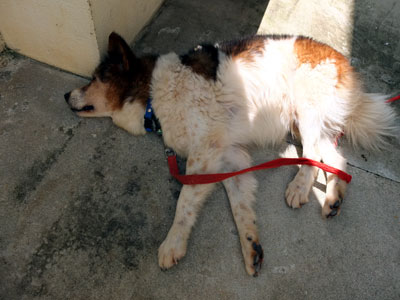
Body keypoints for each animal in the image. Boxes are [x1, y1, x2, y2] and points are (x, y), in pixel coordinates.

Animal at [64, 32, 396, 276]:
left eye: (95, 78)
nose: (66, 94)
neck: (152, 94)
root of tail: (341, 59)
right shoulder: (231, 157)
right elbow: (240, 207)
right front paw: (250, 246)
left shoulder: (204, 154)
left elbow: (184, 203)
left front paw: (173, 242)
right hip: (302, 121)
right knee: (335, 158)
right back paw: (333, 197)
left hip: (305, 109)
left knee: (312, 153)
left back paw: (301, 186)